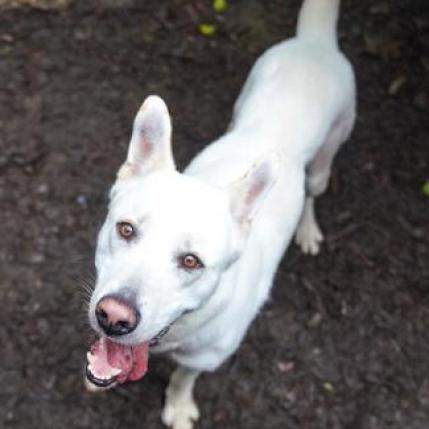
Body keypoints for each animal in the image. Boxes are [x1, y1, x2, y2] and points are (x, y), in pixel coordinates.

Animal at [83, 0, 354, 428]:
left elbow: (183, 378)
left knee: (314, 191)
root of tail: (314, 43)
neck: (174, 333)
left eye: (191, 261)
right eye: (125, 230)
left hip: (327, 156)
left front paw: (178, 406)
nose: (113, 317)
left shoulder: (204, 360)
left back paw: (308, 229)